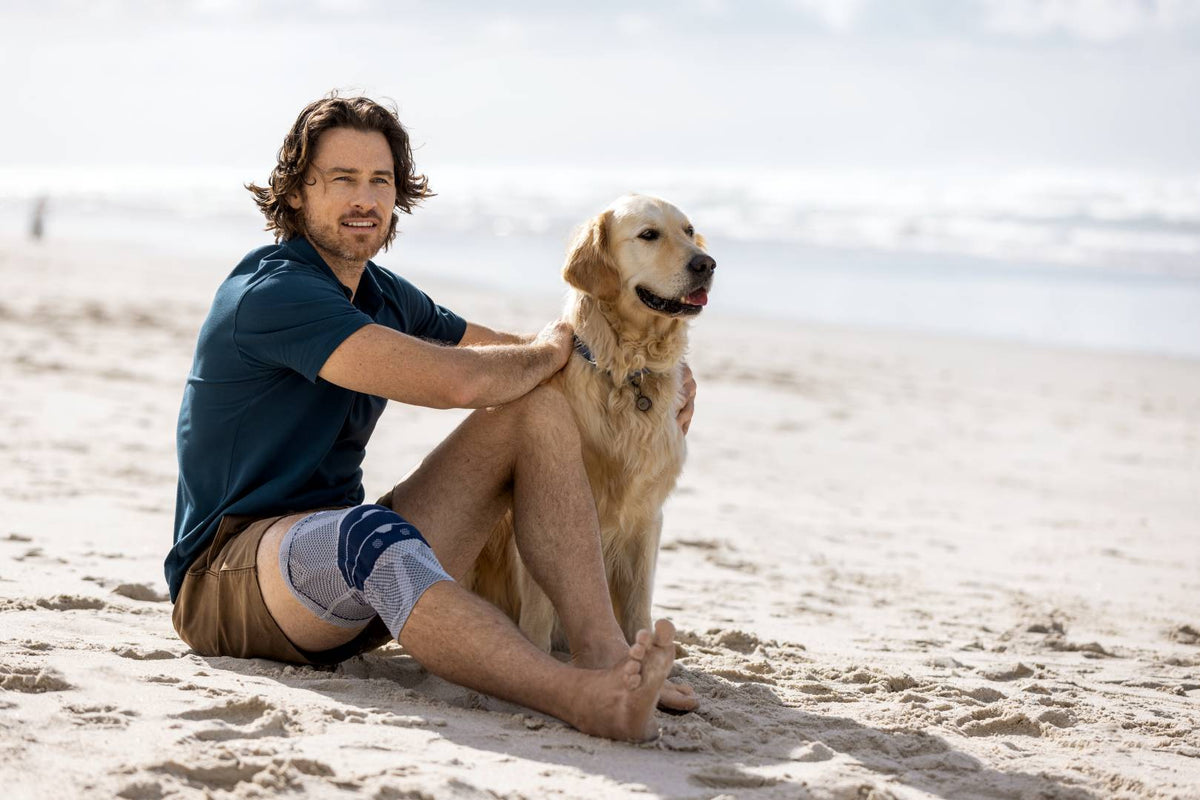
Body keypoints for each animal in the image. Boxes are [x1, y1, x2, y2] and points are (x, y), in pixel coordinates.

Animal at [465, 194, 710, 652]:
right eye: (649, 234)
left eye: (688, 230)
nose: (707, 263)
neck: (629, 374)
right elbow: (540, 609)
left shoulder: (647, 516)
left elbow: (638, 604)